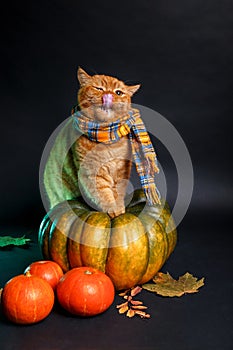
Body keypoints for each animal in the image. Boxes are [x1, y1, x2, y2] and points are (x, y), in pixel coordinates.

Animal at [42, 67, 139, 217]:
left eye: (118, 92)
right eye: (99, 88)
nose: (108, 95)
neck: (108, 140)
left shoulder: (122, 170)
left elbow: (118, 191)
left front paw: (120, 209)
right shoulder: (92, 173)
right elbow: (104, 193)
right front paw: (114, 210)